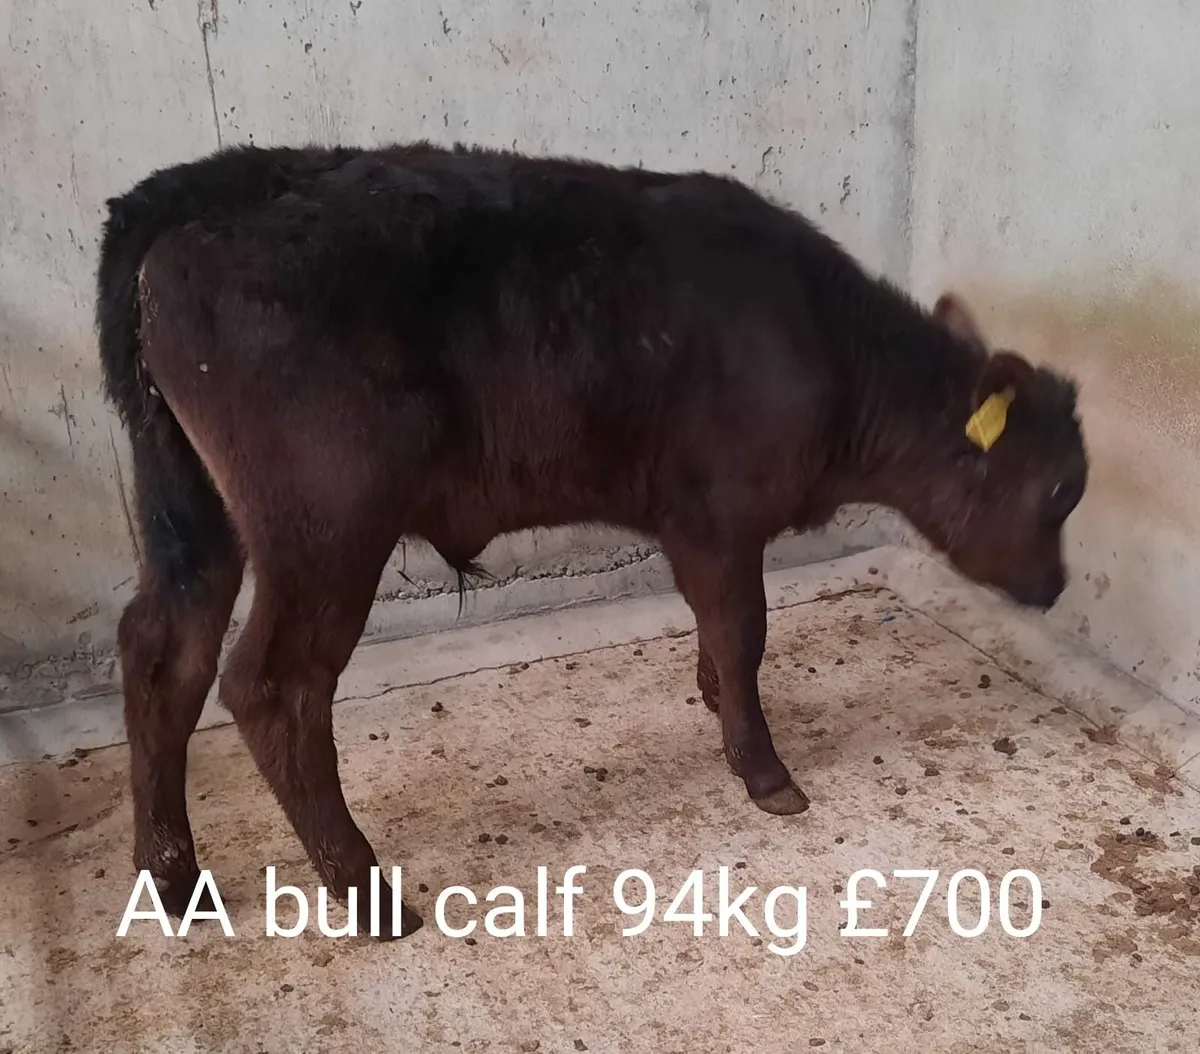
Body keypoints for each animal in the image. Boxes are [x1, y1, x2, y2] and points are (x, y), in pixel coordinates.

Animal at [95, 140, 1087, 939]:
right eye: (1058, 490)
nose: (1055, 587)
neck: (822, 347)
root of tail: (185, 198)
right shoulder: (719, 518)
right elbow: (744, 631)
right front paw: (764, 771)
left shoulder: (696, 529)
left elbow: (720, 636)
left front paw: (714, 703)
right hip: (326, 527)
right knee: (272, 686)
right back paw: (367, 892)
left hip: (193, 512)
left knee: (162, 652)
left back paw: (174, 879)